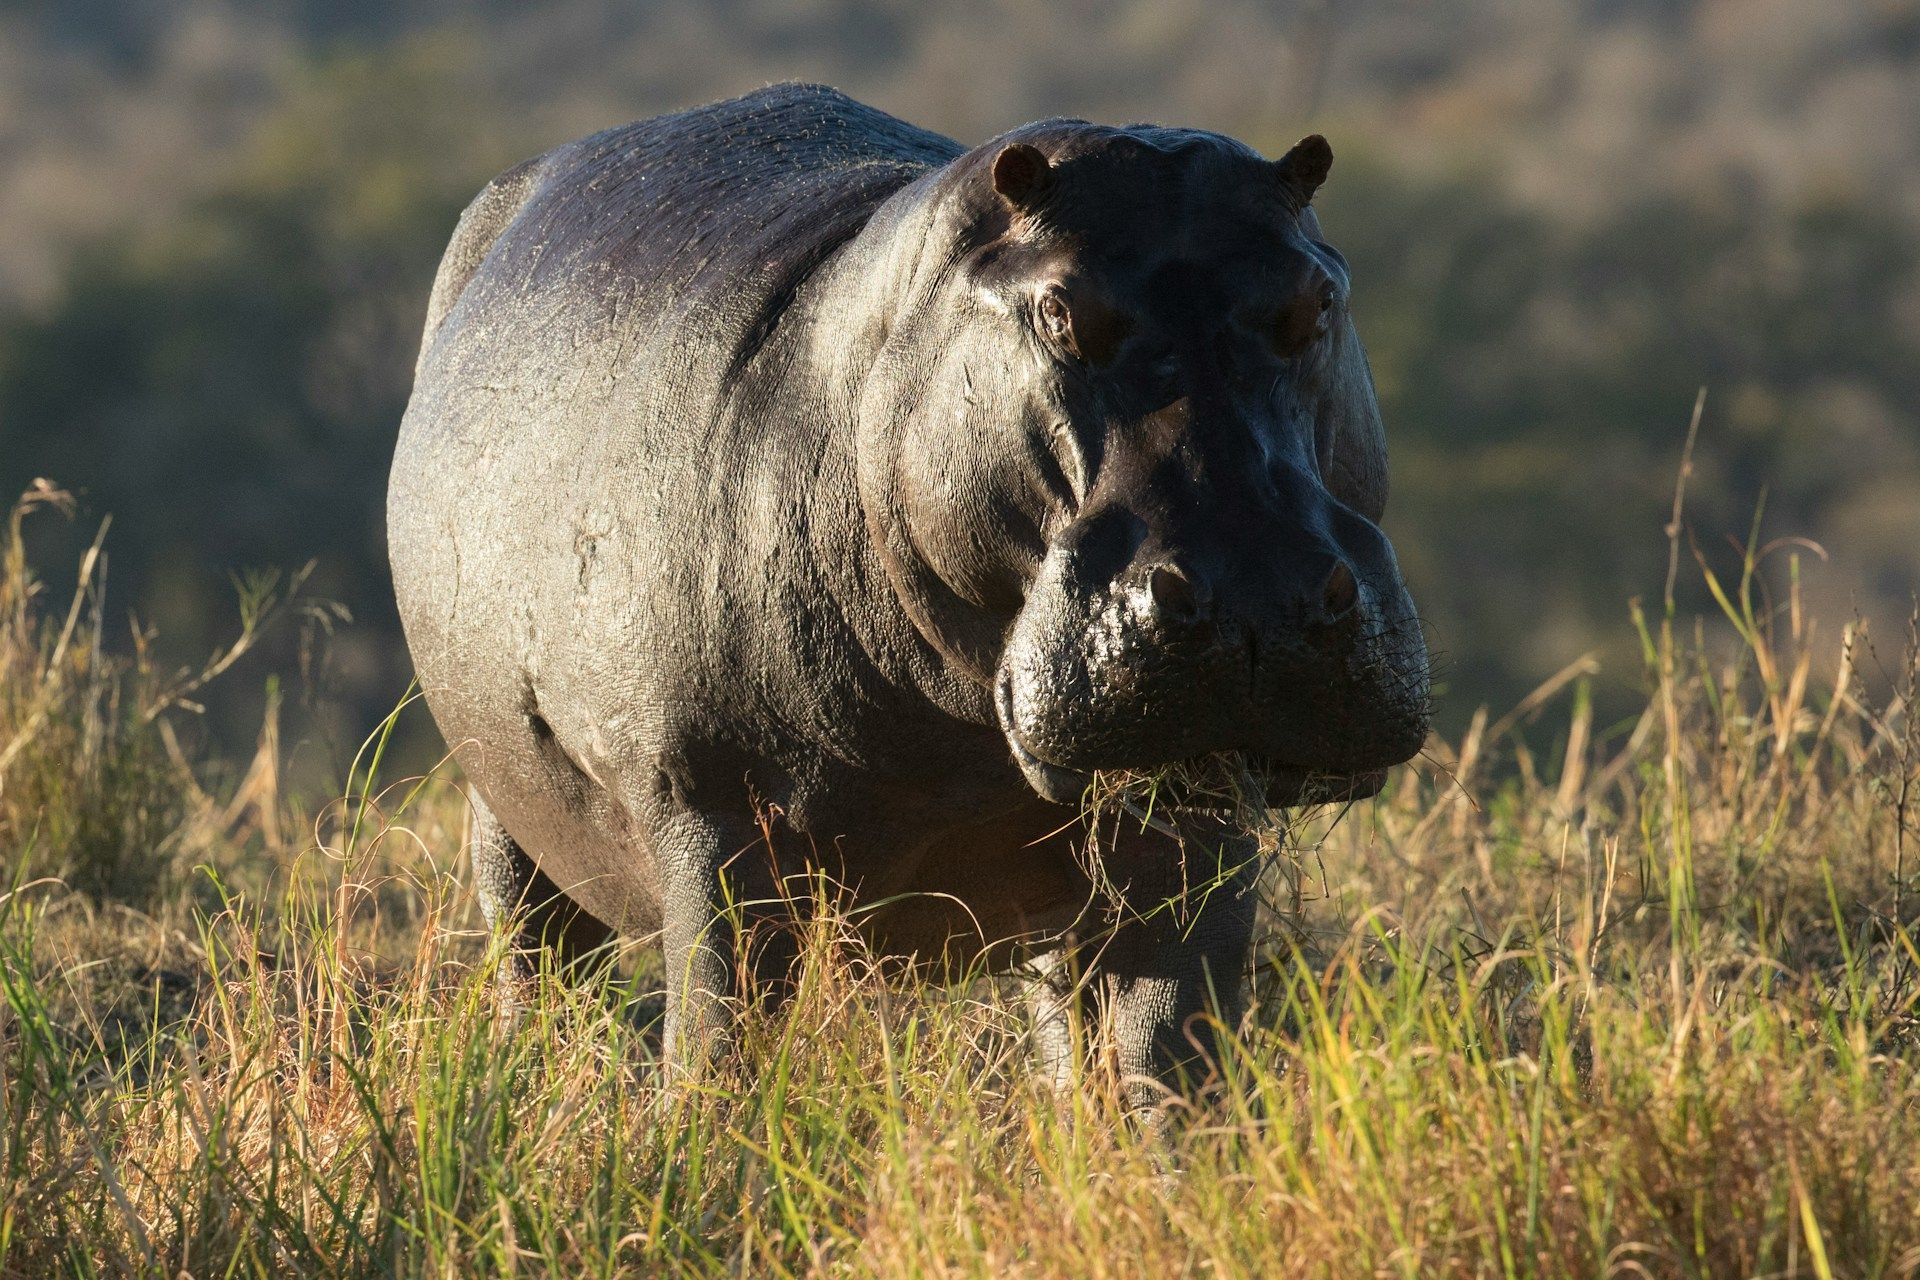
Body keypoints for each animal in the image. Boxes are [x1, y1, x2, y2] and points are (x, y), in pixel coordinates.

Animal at [389, 83, 1429, 1099]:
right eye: (1058, 312)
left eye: (1318, 301)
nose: (1255, 594)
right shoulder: (715, 821)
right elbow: (719, 1048)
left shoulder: (1192, 828)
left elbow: (1165, 1059)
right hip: (505, 809)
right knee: (539, 967)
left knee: (1064, 1030)